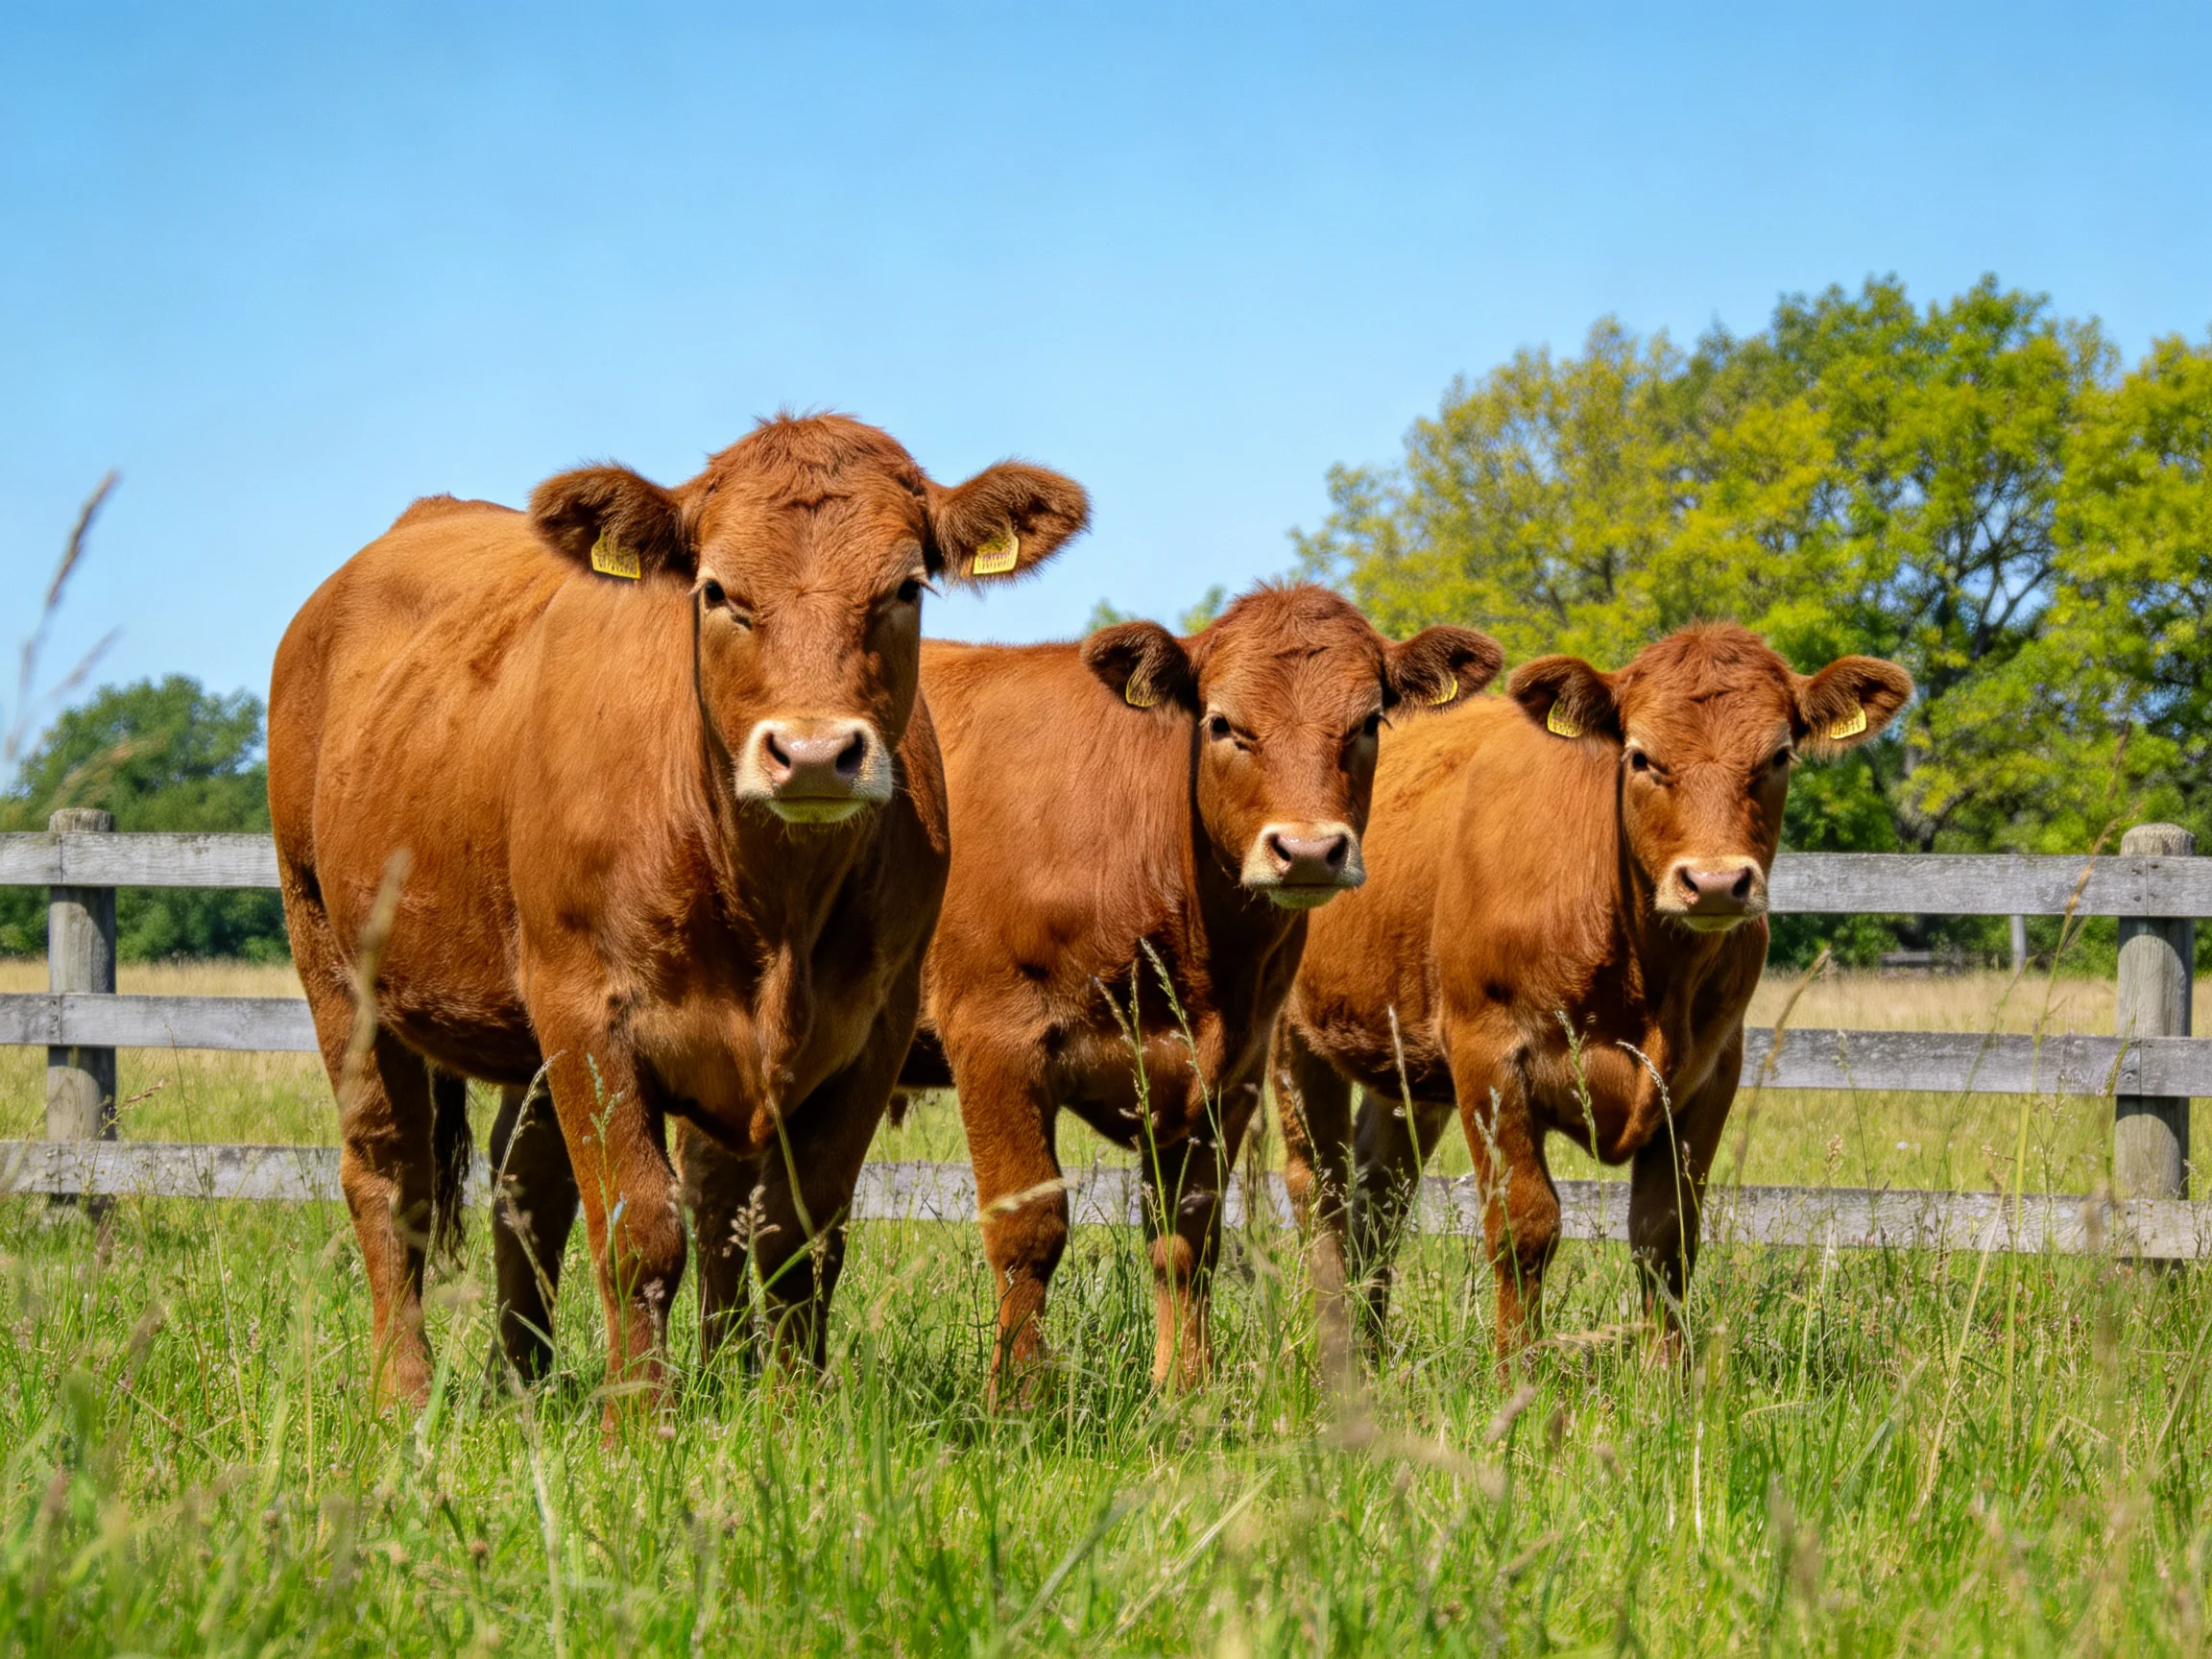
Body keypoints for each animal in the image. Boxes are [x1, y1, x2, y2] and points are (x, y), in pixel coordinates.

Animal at [267, 414, 1089, 1416]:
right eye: (717, 591)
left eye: (904, 588)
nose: (814, 753)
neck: (773, 906)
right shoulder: (588, 1011)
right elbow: (640, 1233)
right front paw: (641, 1423)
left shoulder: (876, 1027)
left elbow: (797, 1238)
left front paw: (791, 1415)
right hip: (333, 956)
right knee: (391, 1173)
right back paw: (405, 1393)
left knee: (524, 1182)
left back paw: (523, 1380)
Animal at [900, 583, 1501, 1401]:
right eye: (1222, 723)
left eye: (1369, 722)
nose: (1308, 850)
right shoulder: (994, 1038)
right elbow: (1028, 1228)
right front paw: (1020, 1399)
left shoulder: (1233, 1065)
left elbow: (1188, 1236)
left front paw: (1183, 1391)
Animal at [1272, 623, 1912, 1376]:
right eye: (1641, 756)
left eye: (1779, 755)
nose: (1715, 883)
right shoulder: (1488, 1055)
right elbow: (1525, 1225)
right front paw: (1517, 1373)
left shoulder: (1712, 1069)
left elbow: (1667, 1234)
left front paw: (1667, 1379)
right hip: (1289, 1033)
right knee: (1319, 1186)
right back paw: (1337, 1351)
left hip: (1404, 1060)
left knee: (1382, 1193)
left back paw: (1371, 1354)